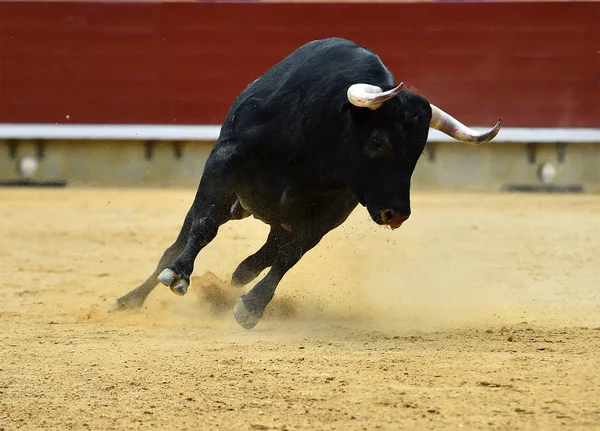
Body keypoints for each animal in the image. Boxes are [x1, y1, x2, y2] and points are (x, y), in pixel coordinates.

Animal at [111, 38, 502, 330]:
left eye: (418, 151)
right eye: (378, 141)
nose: (397, 213)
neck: (314, 142)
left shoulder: (331, 212)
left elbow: (291, 256)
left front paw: (250, 309)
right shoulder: (222, 165)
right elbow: (203, 228)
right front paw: (178, 275)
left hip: (278, 219)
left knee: (261, 257)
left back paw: (228, 287)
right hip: (232, 202)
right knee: (181, 240)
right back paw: (132, 298)